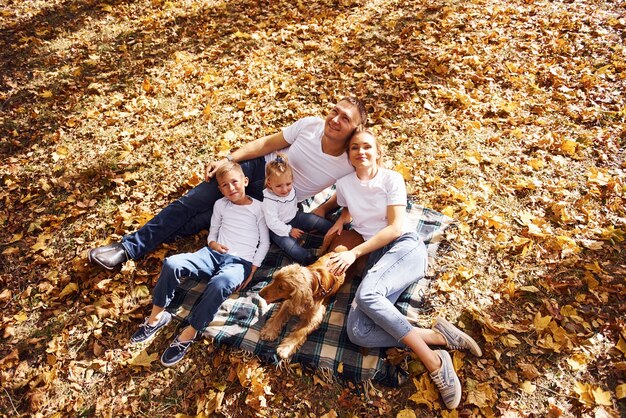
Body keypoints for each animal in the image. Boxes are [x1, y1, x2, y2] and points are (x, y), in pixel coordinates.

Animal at [258, 229, 366, 360]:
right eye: (274, 279)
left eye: (281, 287)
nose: (260, 293)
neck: (315, 282)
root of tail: (355, 231)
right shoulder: (288, 301)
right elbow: (279, 315)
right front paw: (269, 331)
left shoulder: (316, 315)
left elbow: (300, 331)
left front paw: (285, 348)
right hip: (329, 237)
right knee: (323, 248)